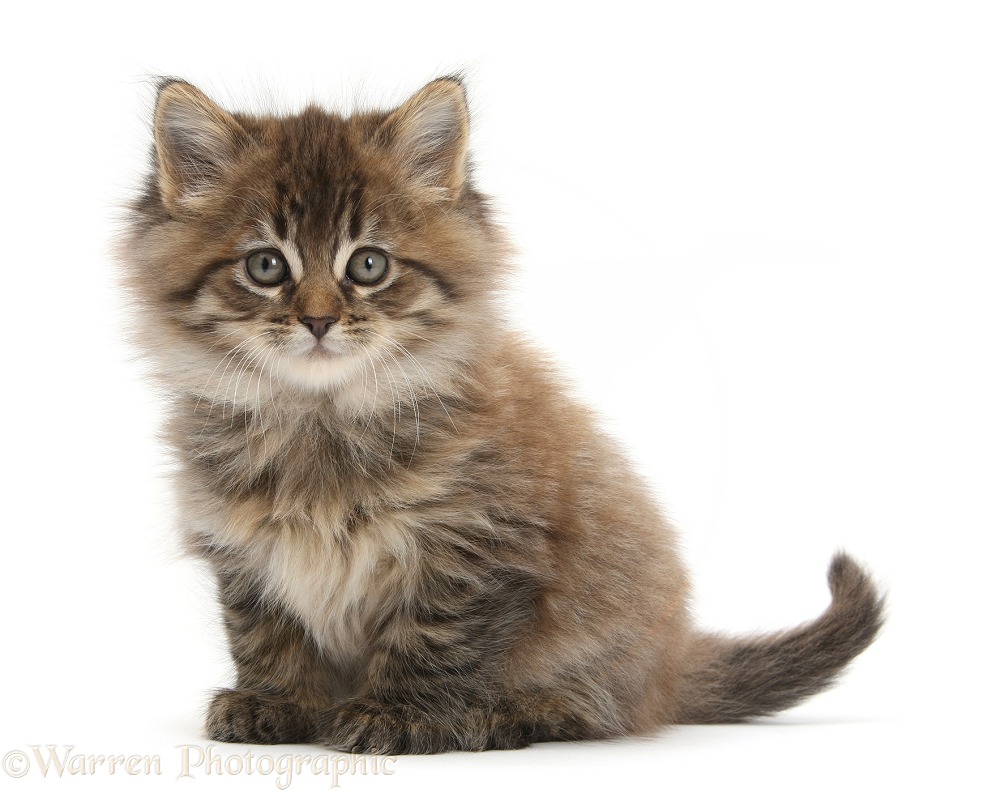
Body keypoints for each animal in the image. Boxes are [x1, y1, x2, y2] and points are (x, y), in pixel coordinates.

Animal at [120, 77, 888, 752]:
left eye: (368, 266)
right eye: (266, 267)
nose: (317, 320)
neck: (320, 420)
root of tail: (668, 665)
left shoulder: (477, 547)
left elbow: (432, 638)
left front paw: (398, 714)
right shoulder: (245, 554)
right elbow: (265, 634)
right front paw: (278, 703)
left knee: (598, 707)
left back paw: (506, 715)